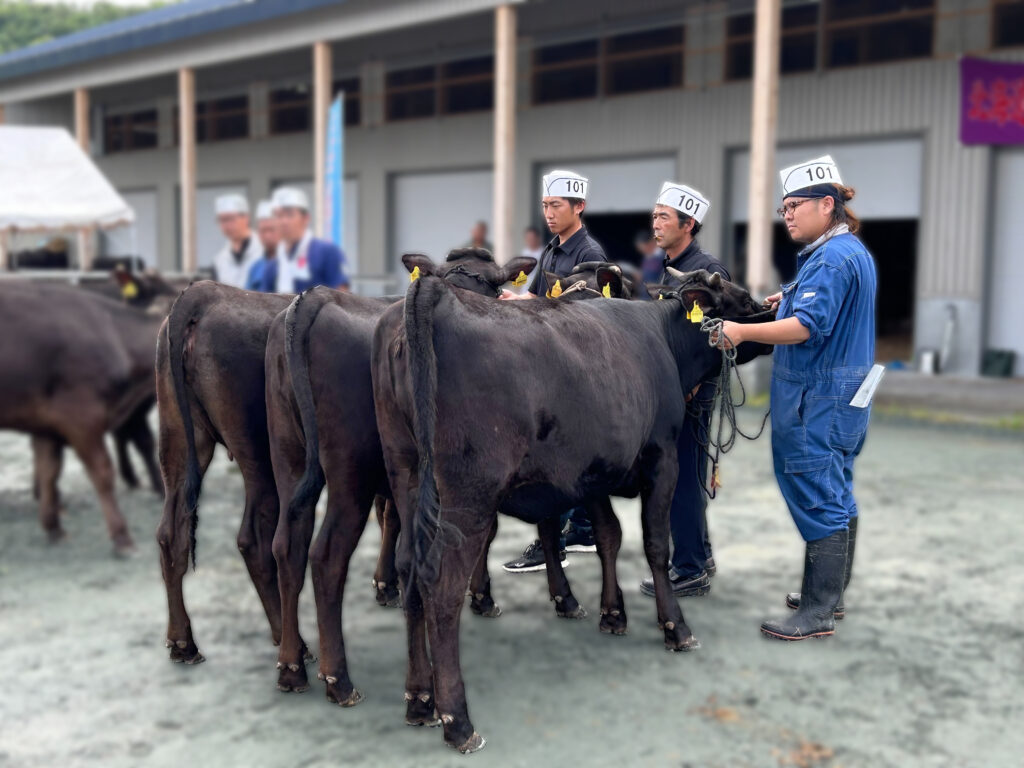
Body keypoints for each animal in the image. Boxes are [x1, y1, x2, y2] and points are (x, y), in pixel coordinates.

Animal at [370, 268, 770, 753]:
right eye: (742, 299)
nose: (772, 311)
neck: (662, 338)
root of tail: (435, 291)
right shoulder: (662, 458)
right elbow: (656, 544)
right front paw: (675, 627)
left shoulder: (592, 470)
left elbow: (609, 536)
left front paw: (612, 613)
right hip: (469, 495)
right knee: (441, 588)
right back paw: (458, 720)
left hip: (406, 477)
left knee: (409, 570)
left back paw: (420, 700)